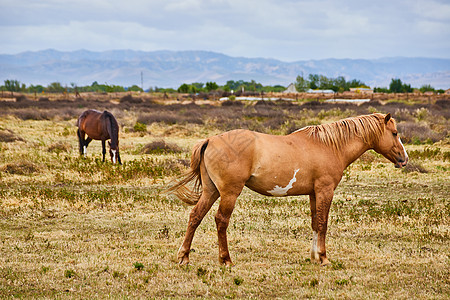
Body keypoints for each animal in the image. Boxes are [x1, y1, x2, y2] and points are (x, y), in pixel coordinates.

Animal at [169, 113, 408, 266]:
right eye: (395, 133)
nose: (404, 159)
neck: (329, 146)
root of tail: (210, 139)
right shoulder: (325, 190)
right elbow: (323, 223)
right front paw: (324, 258)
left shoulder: (314, 193)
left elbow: (315, 222)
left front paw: (313, 257)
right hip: (229, 193)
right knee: (221, 221)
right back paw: (226, 260)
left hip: (211, 192)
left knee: (195, 216)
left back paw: (184, 257)